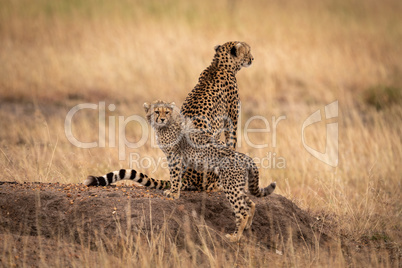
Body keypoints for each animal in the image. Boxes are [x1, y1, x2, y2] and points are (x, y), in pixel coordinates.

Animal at [85, 42, 254, 192]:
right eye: (248, 51)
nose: (252, 58)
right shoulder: (232, 118)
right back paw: (216, 185)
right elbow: (232, 142)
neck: (220, 64)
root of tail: (187, 177)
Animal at [142, 99, 276, 242]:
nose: (162, 119)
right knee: (251, 203)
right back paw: (247, 225)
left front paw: (173, 193)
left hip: (230, 185)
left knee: (242, 211)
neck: (165, 126)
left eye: (166, 112)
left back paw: (235, 236)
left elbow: (175, 175)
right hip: (236, 185)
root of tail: (244, 156)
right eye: (157, 111)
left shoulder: (175, 156)